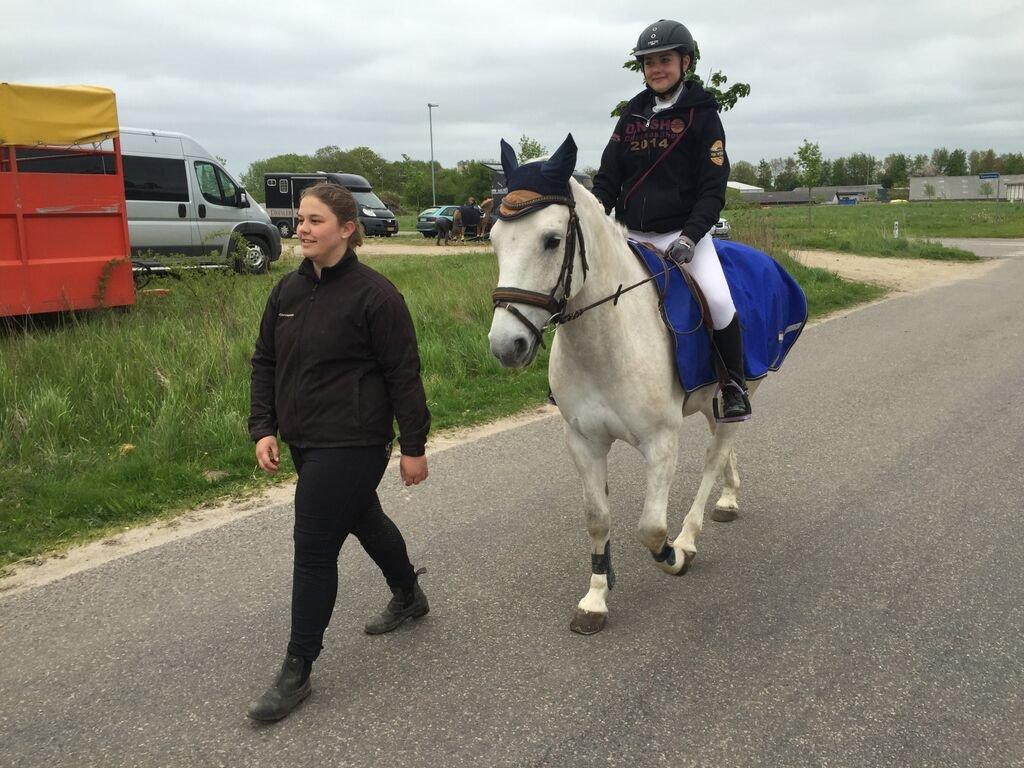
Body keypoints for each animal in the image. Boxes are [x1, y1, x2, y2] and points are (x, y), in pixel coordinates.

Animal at [487, 135, 761, 634]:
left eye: (552, 240)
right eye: (494, 239)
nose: (506, 345)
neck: (607, 339)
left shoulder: (661, 442)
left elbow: (650, 529)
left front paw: (674, 555)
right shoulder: (583, 441)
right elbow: (598, 519)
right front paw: (595, 599)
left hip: (741, 389)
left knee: (715, 455)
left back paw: (691, 534)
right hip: (709, 398)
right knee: (722, 443)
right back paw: (729, 498)